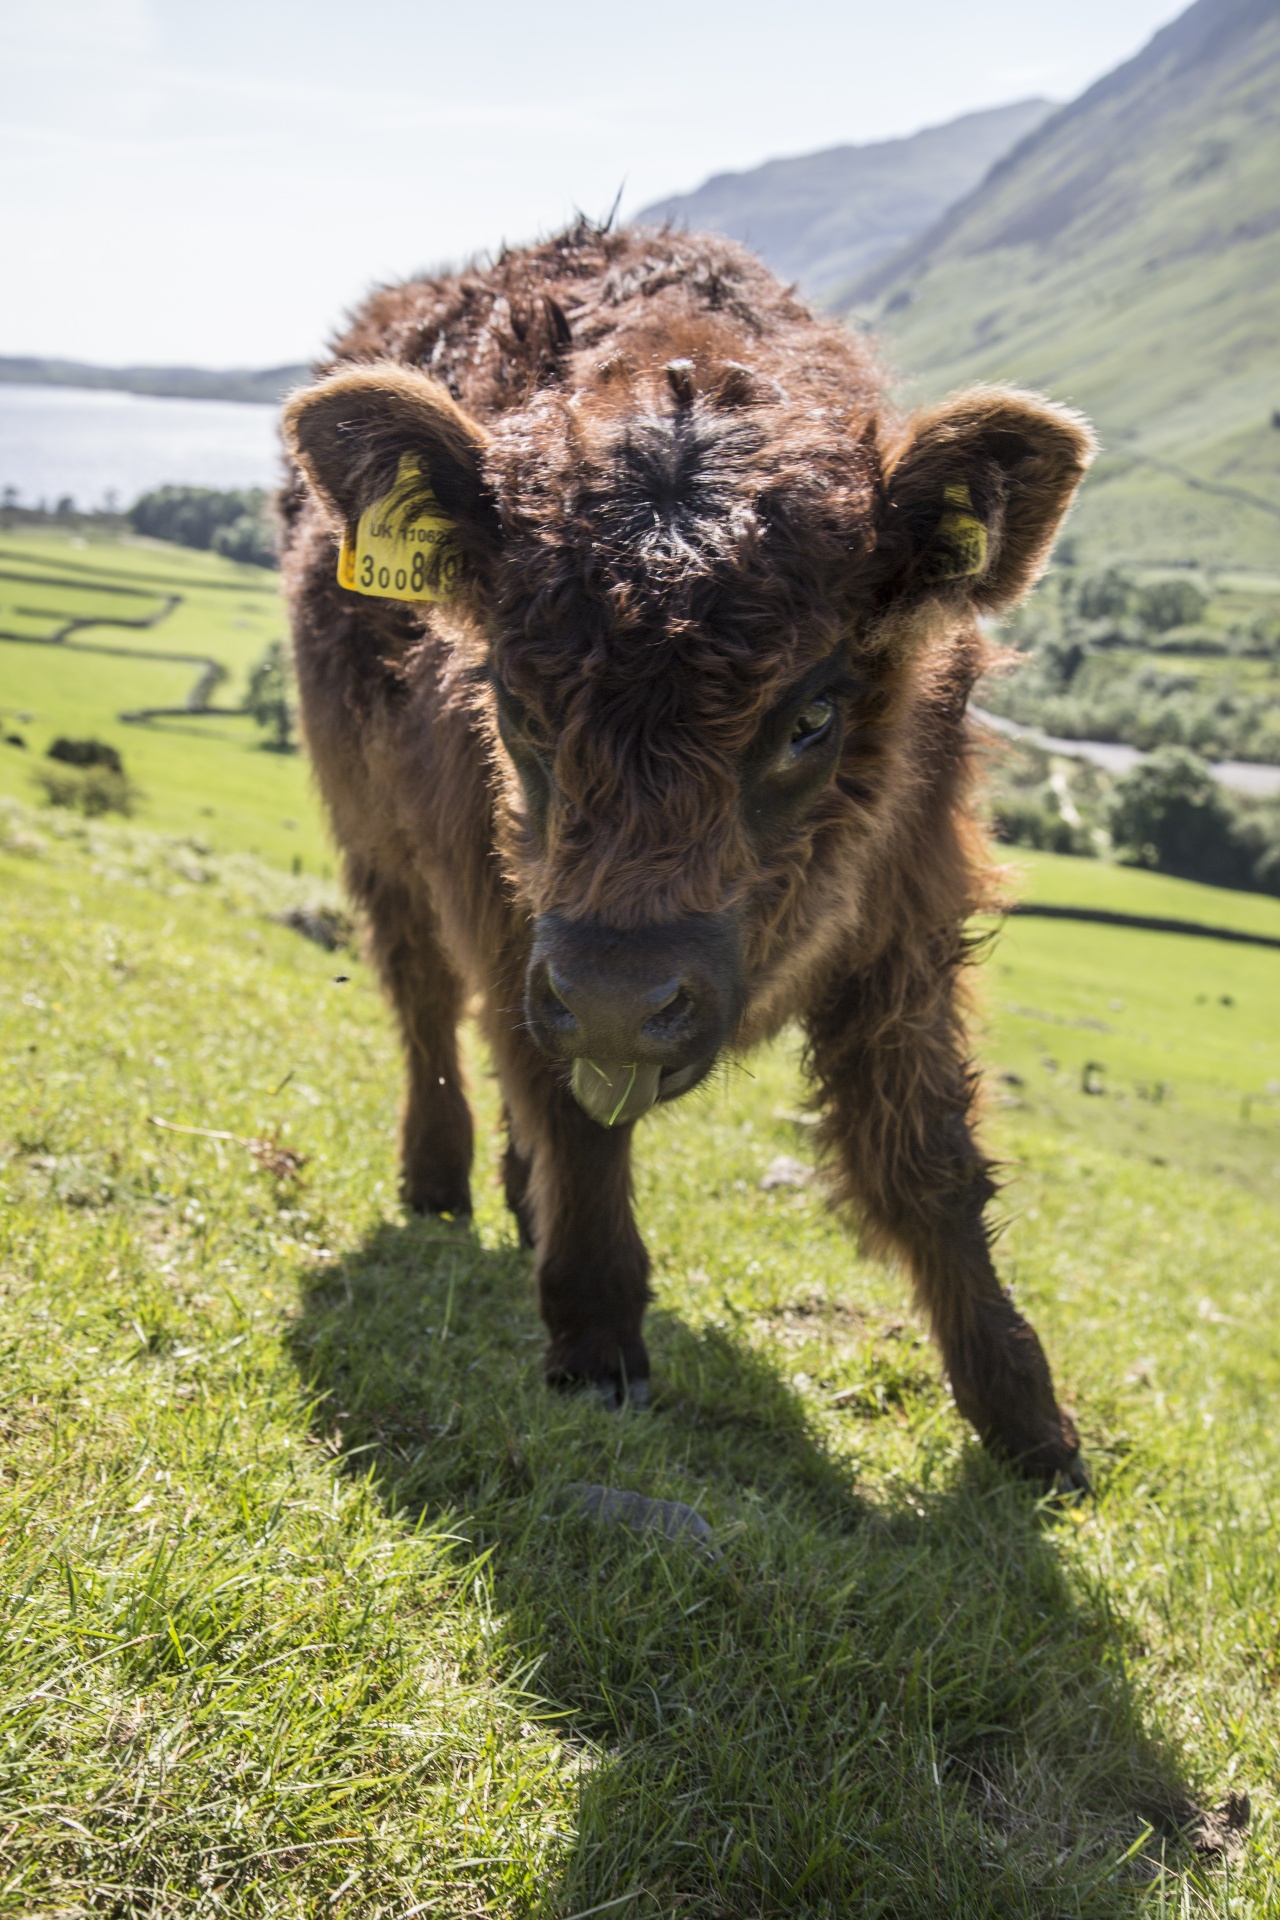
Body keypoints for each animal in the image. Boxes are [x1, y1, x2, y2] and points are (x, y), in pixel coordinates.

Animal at [278, 220, 1090, 1482]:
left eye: (811, 716)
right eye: (514, 701)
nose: (622, 998)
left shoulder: (908, 916)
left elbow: (928, 1161)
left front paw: (1024, 1419)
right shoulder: (513, 919)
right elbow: (568, 1107)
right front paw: (595, 1337)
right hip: (376, 837)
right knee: (424, 1006)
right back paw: (440, 1180)